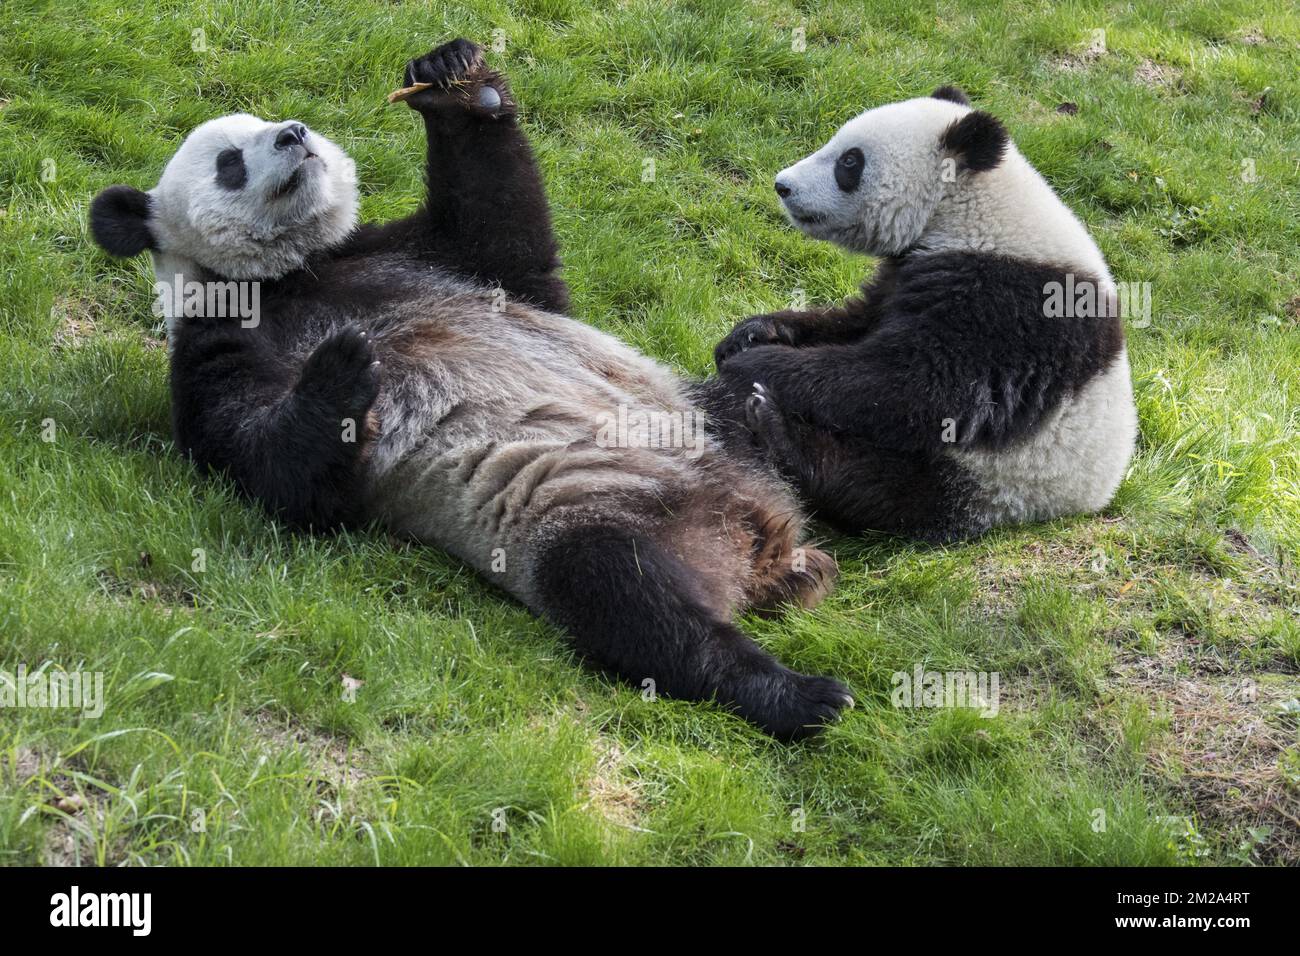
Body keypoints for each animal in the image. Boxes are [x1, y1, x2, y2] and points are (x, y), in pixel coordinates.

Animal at [89, 39, 853, 739]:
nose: (294, 136)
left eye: (276, 120)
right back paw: (800, 695)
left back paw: (782, 428)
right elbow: (273, 470)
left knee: (760, 405)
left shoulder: (418, 254)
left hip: (686, 411)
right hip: (599, 514)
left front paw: (452, 80)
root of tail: (766, 543)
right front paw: (343, 367)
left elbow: (511, 242)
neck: (295, 270)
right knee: (632, 599)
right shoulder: (220, 339)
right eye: (230, 161)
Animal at [709, 86, 1137, 542]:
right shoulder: (906, 273)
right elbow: (857, 322)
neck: (970, 212)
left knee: (879, 488)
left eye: (850, 162)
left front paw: (757, 364)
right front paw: (751, 334)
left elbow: (916, 385)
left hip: (998, 481)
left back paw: (775, 428)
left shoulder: (1011, 307)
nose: (783, 185)